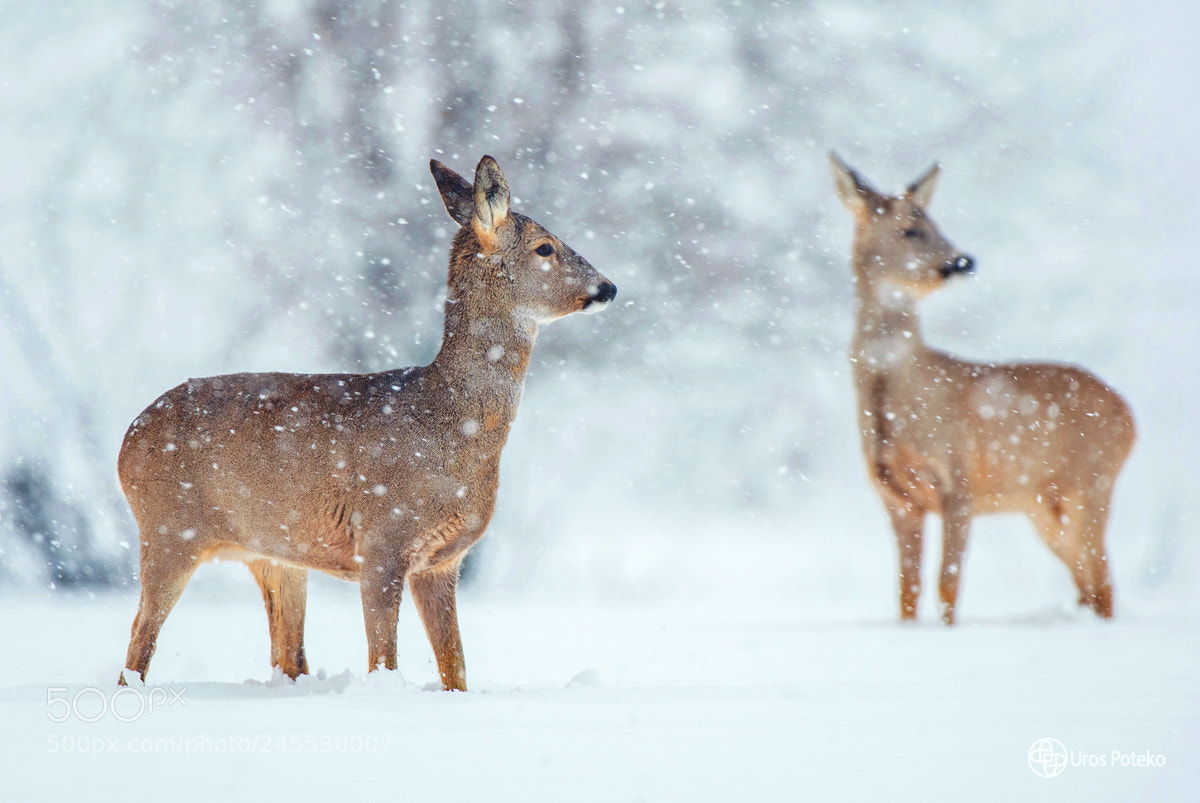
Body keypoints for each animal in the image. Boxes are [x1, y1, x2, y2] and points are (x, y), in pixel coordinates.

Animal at [117, 155, 616, 690]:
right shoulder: (381, 540)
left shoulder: (442, 561)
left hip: (273, 554)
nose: (608, 287)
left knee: (288, 657)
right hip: (169, 529)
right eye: (546, 246)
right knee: (137, 645)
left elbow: (455, 667)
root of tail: (126, 443)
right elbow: (384, 659)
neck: (452, 429)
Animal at [829, 153, 1135, 625]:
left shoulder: (959, 478)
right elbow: (906, 592)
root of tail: (1129, 414)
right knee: (1087, 580)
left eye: (934, 221)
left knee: (1101, 580)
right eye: (910, 229)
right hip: (1041, 504)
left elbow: (948, 583)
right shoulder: (895, 497)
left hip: (1094, 482)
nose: (962, 261)